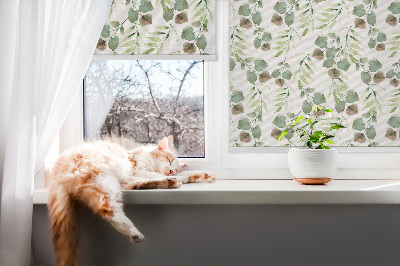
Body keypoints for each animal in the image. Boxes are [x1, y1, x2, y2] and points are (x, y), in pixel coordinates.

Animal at [48, 137, 217, 266]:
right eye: (169, 160)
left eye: (174, 167)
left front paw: (202, 175)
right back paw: (134, 232)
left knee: (133, 186)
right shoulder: (136, 170)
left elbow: (185, 174)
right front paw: (183, 176)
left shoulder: (134, 174)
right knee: (107, 209)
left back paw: (170, 182)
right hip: (103, 178)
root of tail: (56, 172)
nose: (171, 171)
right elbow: (154, 174)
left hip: (114, 181)